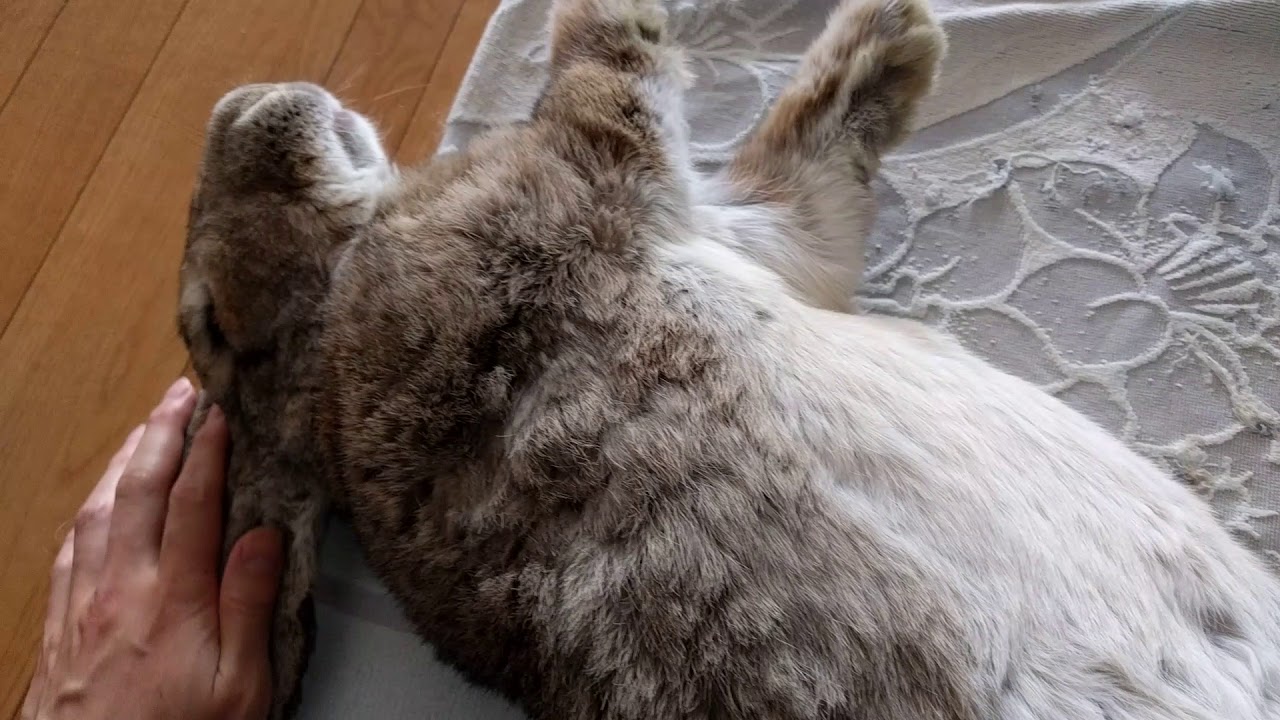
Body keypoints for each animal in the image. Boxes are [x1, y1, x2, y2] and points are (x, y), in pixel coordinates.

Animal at [176, 0, 1280, 717]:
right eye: (212, 320)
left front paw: (886, 36)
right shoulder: (607, 176)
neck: (332, 308)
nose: (243, 102)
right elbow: (617, 62)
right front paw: (896, 33)